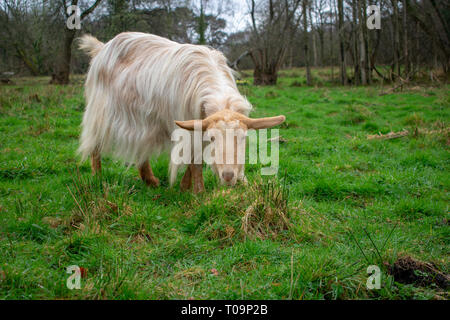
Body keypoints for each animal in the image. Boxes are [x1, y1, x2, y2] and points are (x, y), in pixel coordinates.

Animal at [78, 32, 284, 192]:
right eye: (214, 138)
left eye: (243, 138)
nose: (228, 176)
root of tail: (102, 47)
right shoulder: (187, 125)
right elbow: (195, 161)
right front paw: (198, 192)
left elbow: (195, 158)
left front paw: (185, 186)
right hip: (99, 110)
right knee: (95, 144)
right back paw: (98, 176)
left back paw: (150, 181)